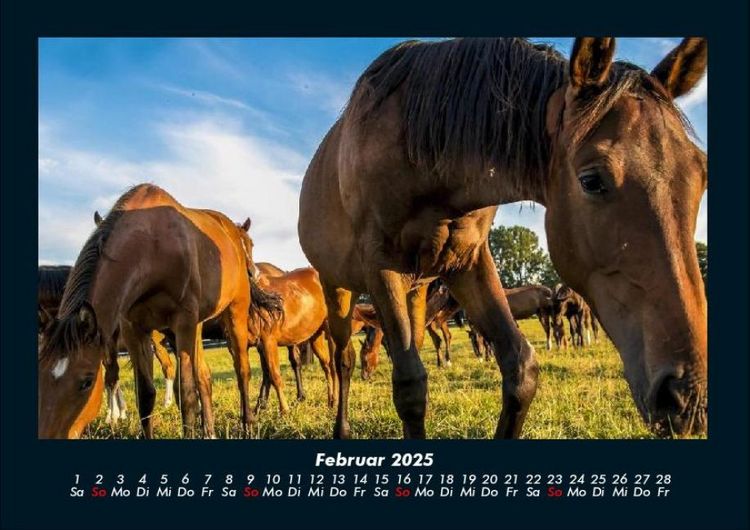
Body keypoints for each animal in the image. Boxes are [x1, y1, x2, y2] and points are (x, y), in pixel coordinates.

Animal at [38, 183, 274, 438]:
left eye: (87, 382)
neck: (153, 247)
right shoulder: (134, 330)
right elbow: (145, 396)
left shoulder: (183, 322)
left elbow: (187, 395)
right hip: (193, 327)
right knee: (204, 375)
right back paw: (210, 431)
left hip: (234, 313)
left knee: (242, 369)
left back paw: (248, 425)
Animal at [298, 37, 707, 439]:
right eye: (592, 180)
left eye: (701, 174)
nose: (688, 396)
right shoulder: (381, 267)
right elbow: (410, 386)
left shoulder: (468, 263)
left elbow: (520, 369)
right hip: (338, 287)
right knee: (343, 358)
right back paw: (341, 429)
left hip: (416, 289)